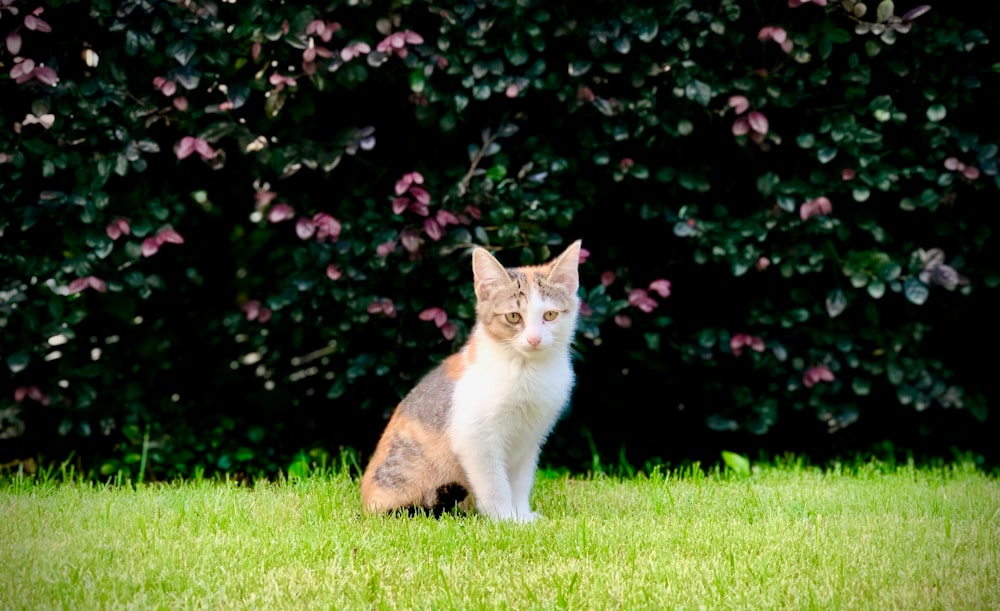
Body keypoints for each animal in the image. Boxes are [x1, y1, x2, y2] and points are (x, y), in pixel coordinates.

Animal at [360, 239, 584, 520]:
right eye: (513, 316)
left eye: (550, 315)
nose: (534, 339)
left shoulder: (529, 438)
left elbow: (520, 481)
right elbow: (494, 483)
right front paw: (505, 519)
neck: (527, 370)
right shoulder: (475, 437)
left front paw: (523, 516)